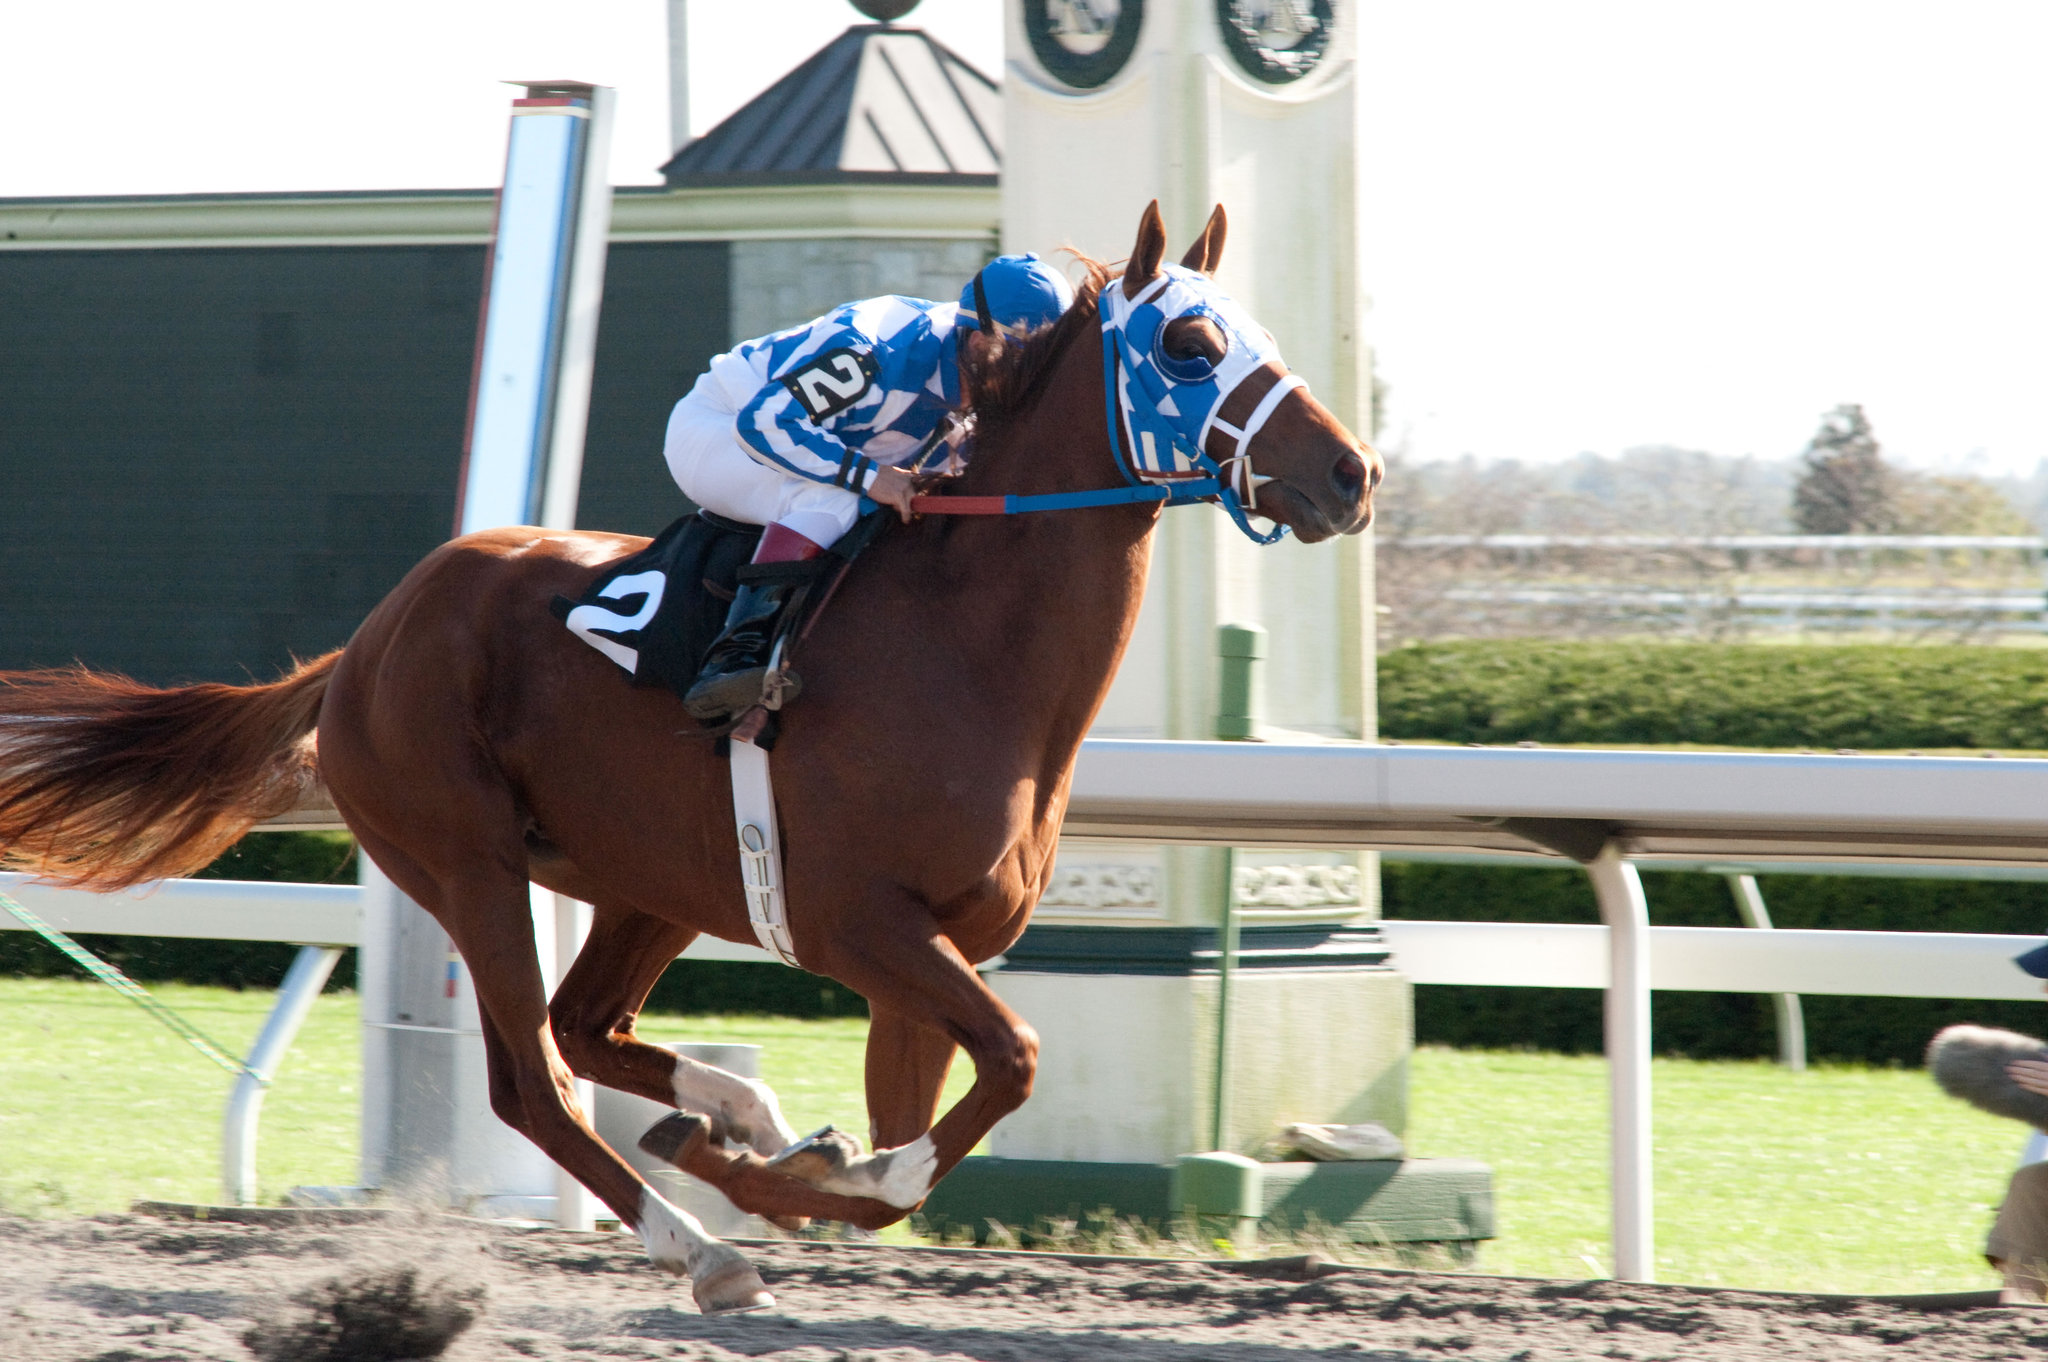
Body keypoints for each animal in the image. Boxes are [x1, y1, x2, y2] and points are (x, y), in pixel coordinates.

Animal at [0, 201, 1384, 1310]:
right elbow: (996, 1077)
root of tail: (360, 648)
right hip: (466, 860)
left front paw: (785, 1158)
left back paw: (731, 1116)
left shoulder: (921, 955)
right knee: (532, 1079)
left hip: (645, 881)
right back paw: (703, 1243)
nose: (1349, 470)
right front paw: (780, 1187)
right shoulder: (858, 923)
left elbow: (922, 1130)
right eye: (1188, 345)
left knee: (587, 1027)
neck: (966, 650)